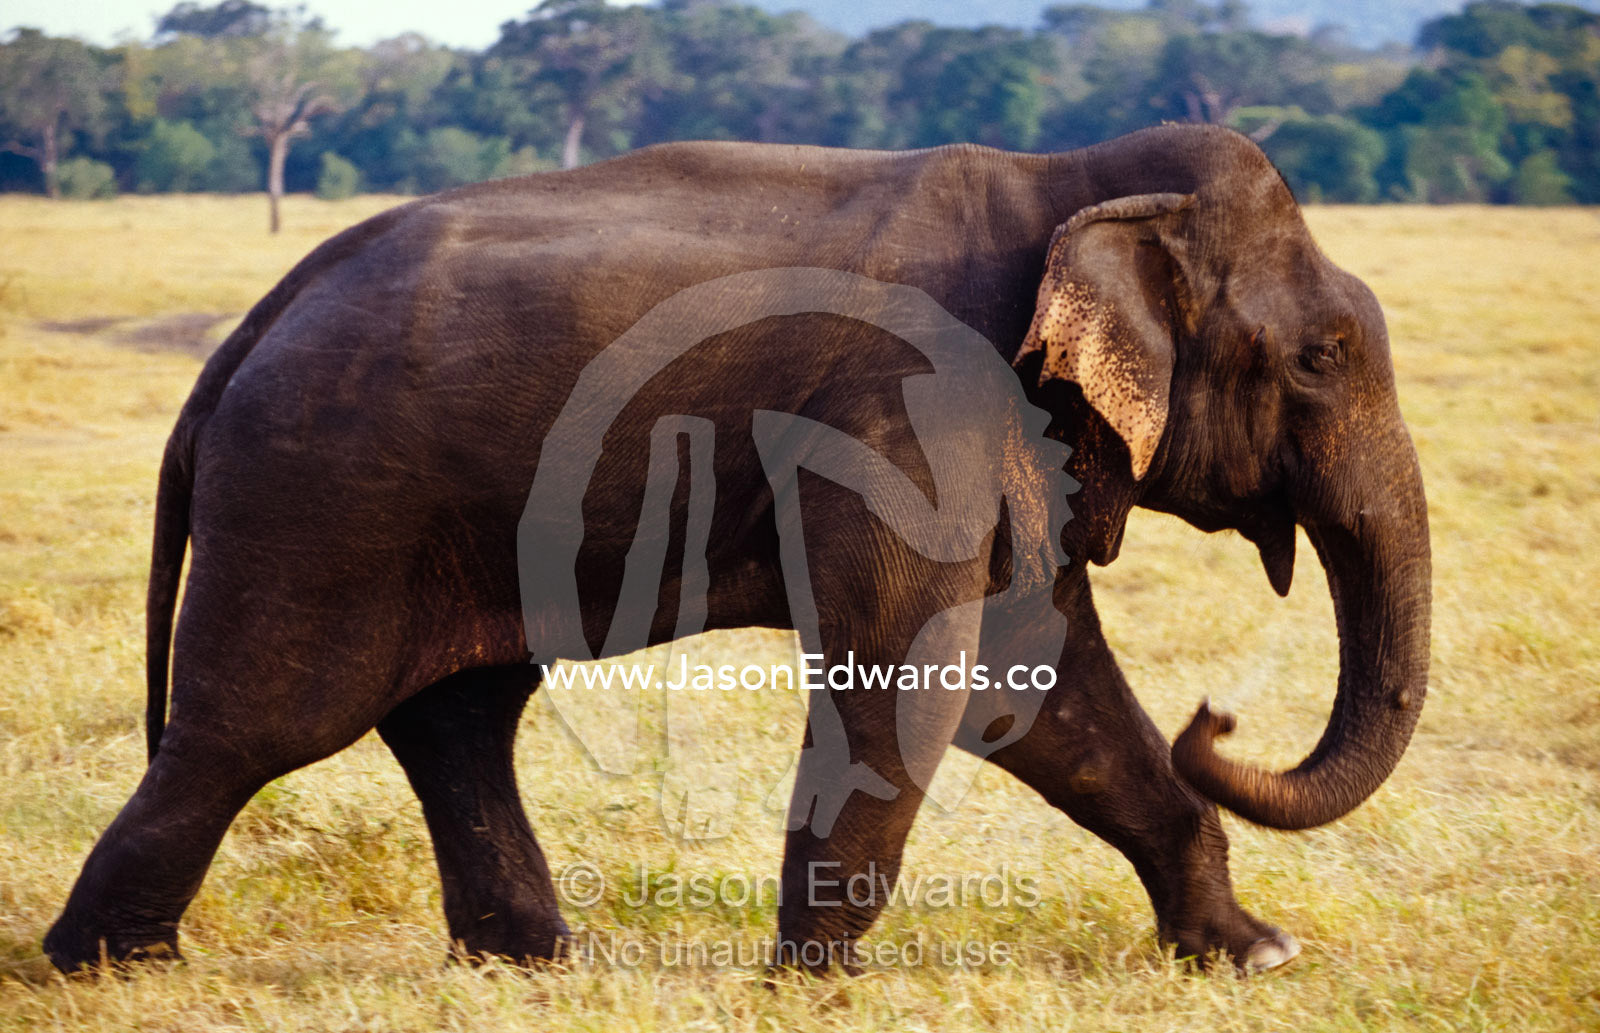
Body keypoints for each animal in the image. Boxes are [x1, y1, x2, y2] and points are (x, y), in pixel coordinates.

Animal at [44, 122, 1431, 977]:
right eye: (1318, 358)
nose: (1221, 718)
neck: (1068, 179)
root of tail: (244, 333)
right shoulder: (909, 412)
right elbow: (913, 680)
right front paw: (813, 982)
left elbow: (1031, 681)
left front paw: (1252, 953)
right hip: (318, 501)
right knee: (258, 726)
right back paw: (109, 967)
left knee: (454, 717)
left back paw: (530, 961)